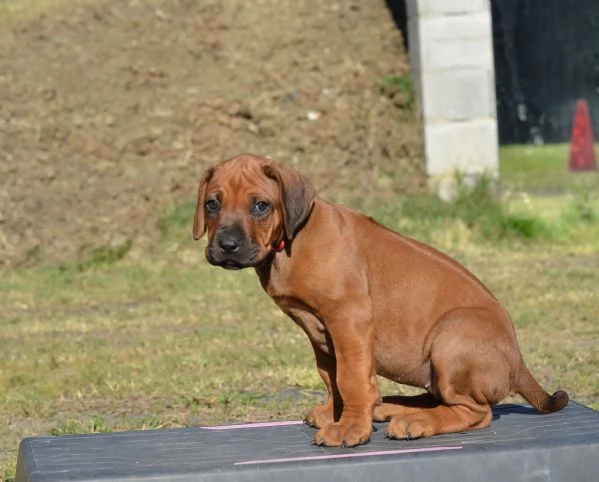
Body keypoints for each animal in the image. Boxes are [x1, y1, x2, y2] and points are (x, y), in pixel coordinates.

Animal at [193, 153, 568, 448]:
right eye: (212, 204)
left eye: (261, 205)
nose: (226, 245)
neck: (292, 240)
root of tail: (518, 363)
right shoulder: (319, 332)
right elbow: (330, 376)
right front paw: (335, 414)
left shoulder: (348, 318)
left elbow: (351, 378)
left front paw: (349, 427)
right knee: (437, 396)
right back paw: (392, 408)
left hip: (452, 335)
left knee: (476, 411)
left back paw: (417, 421)